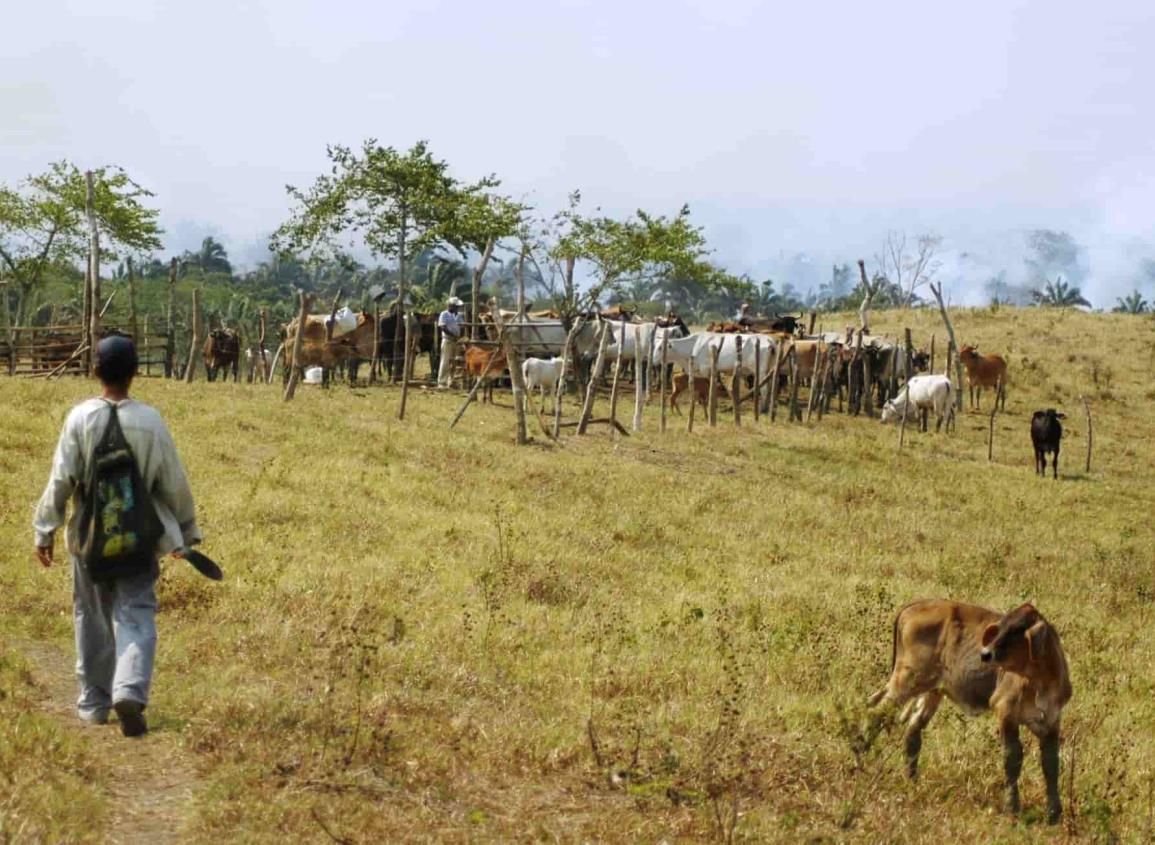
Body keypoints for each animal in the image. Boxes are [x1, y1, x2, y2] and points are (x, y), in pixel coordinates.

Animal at [868, 595, 1071, 821]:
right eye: (1001, 627)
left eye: (1017, 630)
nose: (985, 654)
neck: (1042, 680)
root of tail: (918, 603)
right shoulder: (1005, 711)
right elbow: (1012, 758)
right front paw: (1012, 807)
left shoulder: (1052, 721)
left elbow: (1051, 764)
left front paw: (1054, 813)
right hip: (907, 679)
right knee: (875, 710)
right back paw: (861, 756)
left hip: (932, 689)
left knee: (911, 728)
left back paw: (911, 779)